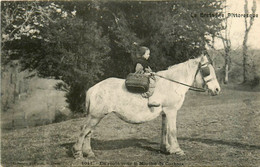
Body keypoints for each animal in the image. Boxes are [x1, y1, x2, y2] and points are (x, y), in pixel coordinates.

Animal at [72, 55, 220, 159]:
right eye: (207, 71)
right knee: (84, 130)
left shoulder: (165, 113)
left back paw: (89, 153)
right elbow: (172, 131)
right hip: (95, 116)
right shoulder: (171, 111)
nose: (217, 90)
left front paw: (166, 149)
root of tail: (92, 89)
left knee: (89, 132)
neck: (172, 84)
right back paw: (77, 152)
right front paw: (177, 150)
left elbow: (165, 130)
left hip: (96, 116)